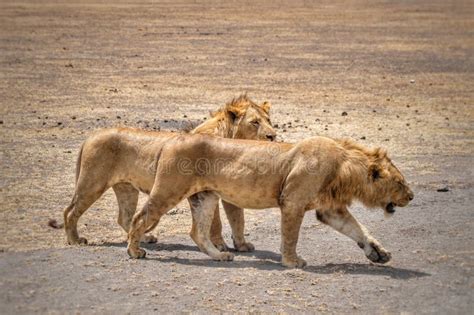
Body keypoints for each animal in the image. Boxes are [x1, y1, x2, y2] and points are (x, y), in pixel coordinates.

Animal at [65, 94, 276, 249]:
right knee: (70, 211)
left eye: (268, 120)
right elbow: (216, 222)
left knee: (125, 217)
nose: (273, 136)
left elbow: (237, 218)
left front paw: (242, 246)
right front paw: (219, 245)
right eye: (254, 122)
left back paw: (144, 238)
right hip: (92, 183)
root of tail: (92, 134)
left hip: (126, 188)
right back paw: (75, 240)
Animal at [127, 136, 414, 270]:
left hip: (206, 196)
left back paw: (220, 256)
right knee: (140, 218)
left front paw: (378, 253)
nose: (411, 196)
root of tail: (171, 140)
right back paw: (134, 251)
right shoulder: (293, 202)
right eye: (400, 183)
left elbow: (357, 229)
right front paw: (292, 261)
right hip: (169, 190)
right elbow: (291, 236)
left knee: (198, 232)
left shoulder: (330, 209)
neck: (344, 168)